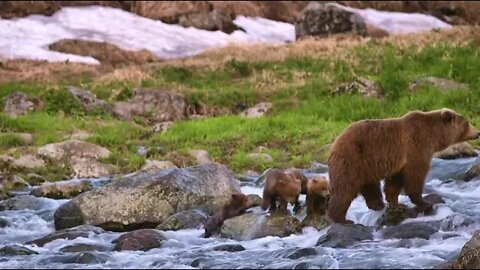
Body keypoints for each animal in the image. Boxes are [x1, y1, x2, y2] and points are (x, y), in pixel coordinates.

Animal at [326, 107, 480, 224]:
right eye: (467, 123)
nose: (478, 132)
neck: (434, 136)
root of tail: (335, 142)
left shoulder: (401, 161)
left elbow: (395, 181)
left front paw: (397, 203)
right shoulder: (416, 146)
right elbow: (415, 176)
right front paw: (425, 203)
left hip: (366, 165)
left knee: (369, 185)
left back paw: (378, 205)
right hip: (353, 158)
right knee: (345, 187)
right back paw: (341, 218)